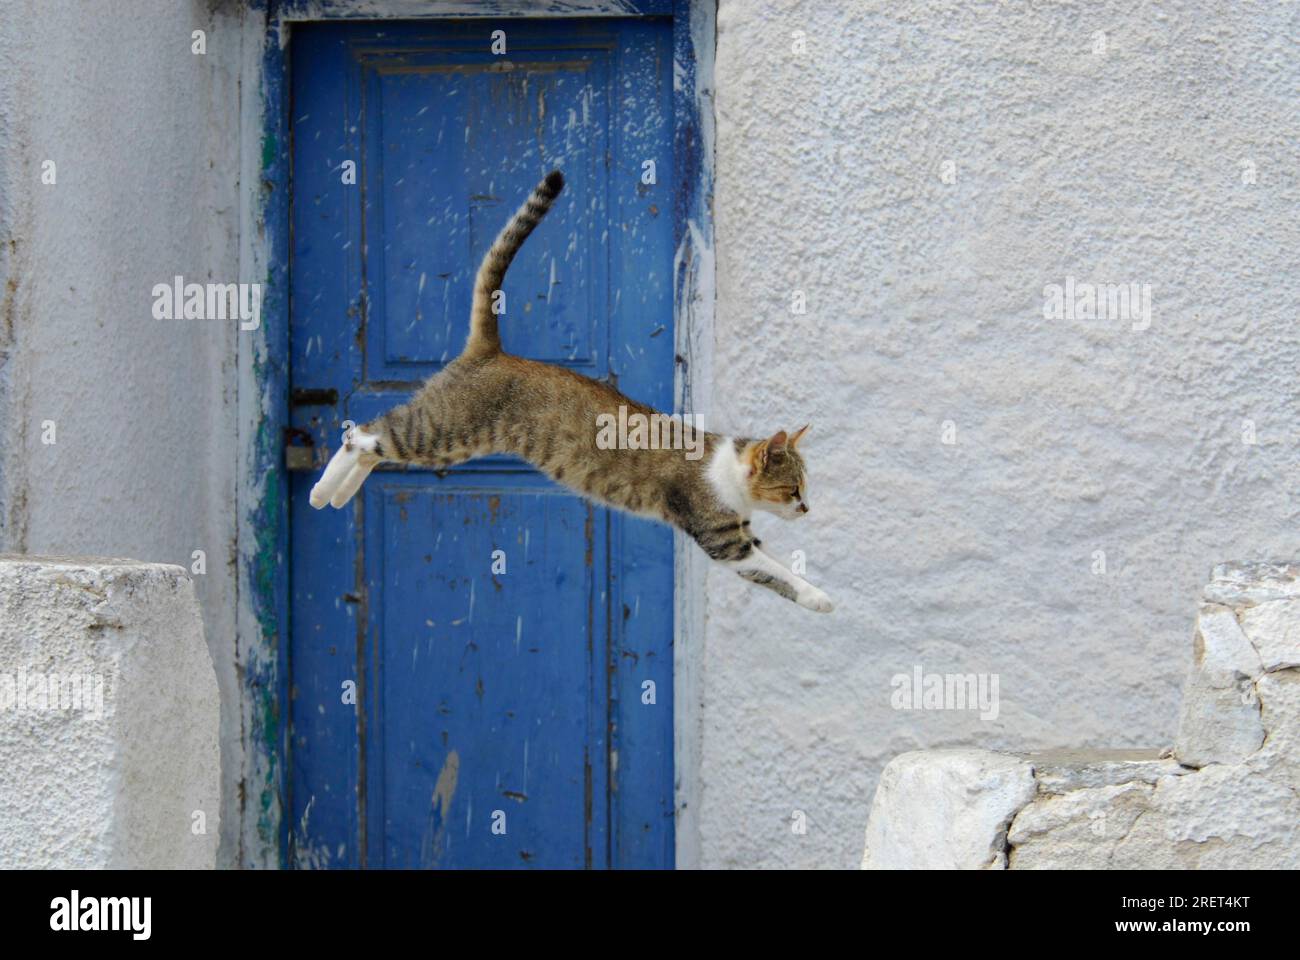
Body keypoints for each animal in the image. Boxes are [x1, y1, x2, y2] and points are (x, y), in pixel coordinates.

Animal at [308, 167, 826, 608]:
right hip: (442, 429)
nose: (806, 509)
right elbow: (775, 571)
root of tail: (491, 351)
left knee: (373, 446)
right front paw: (822, 597)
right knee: (363, 434)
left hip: (449, 441)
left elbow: (774, 570)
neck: (728, 472)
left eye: (805, 488)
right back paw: (321, 492)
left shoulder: (742, 538)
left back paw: (336, 496)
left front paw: (815, 596)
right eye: (791, 488)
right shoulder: (723, 538)